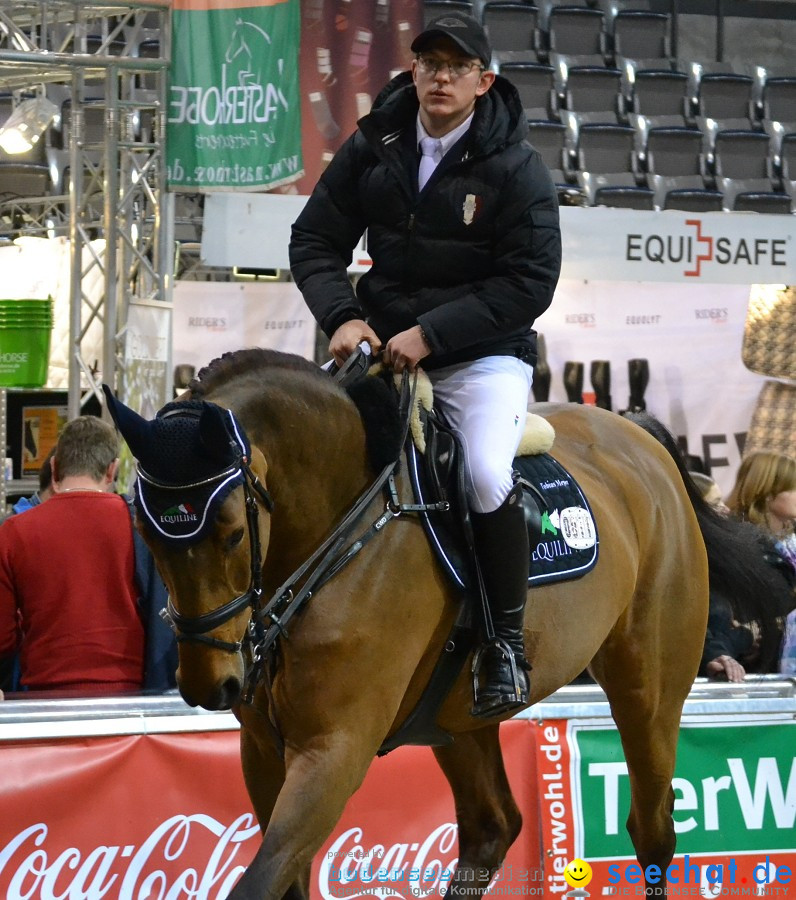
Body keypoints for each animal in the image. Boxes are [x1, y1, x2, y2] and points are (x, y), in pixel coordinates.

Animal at [104, 350, 708, 900]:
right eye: (145, 531)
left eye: (231, 533)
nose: (209, 685)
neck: (338, 529)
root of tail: (641, 439)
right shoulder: (261, 751)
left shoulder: (333, 753)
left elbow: (259, 882)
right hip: (454, 716)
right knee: (492, 827)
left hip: (647, 694)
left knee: (652, 830)